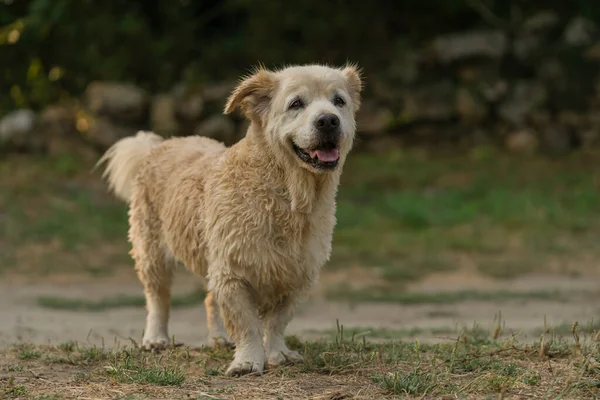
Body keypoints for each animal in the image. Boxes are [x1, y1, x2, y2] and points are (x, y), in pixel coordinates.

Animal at [97, 64, 360, 376]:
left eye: (339, 101)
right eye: (296, 103)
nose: (328, 121)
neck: (286, 195)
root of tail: (160, 144)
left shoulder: (298, 275)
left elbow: (278, 321)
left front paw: (278, 353)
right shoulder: (232, 273)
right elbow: (246, 324)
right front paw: (247, 360)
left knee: (210, 299)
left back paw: (220, 338)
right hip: (151, 251)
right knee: (157, 298)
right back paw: (155, 338)